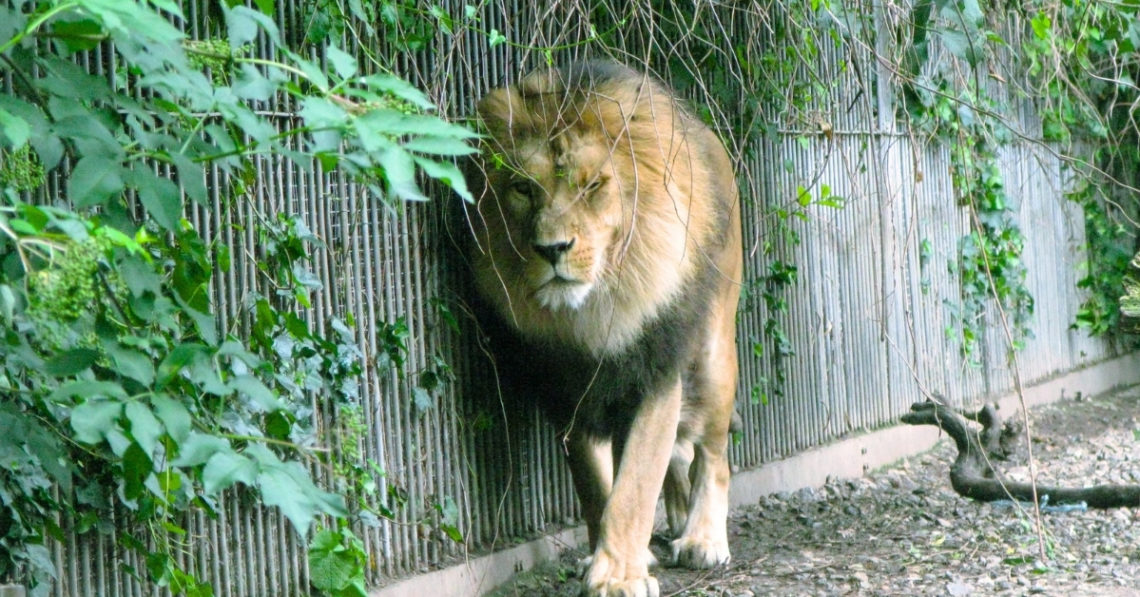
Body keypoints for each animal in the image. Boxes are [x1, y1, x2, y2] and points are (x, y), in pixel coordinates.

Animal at [464, 61, 742, 597]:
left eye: (592, 185)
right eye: (523, 188)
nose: (552, 249)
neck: (594, 313)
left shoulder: (655, 370)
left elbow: (635, 484)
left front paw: (617, 576)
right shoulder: (569, 388)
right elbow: (596, 485)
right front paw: (609, 558)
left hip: (713, 352)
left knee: (713, 454)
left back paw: (703, 539)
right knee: (679, 455)